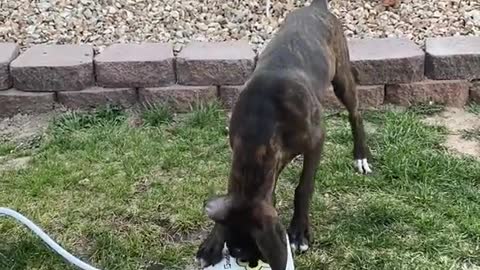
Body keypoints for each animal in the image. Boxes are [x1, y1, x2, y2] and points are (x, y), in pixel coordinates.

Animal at [195, 1, 372, 268]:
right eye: (238, 252)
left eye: (250, 254)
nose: (250, 262)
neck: (259, 124)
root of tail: (316, 7)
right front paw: (212, 243)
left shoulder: (316, 140)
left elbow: (304, 187)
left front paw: (298, 233)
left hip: (342, 75)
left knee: (355, 113)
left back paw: (360, 155)